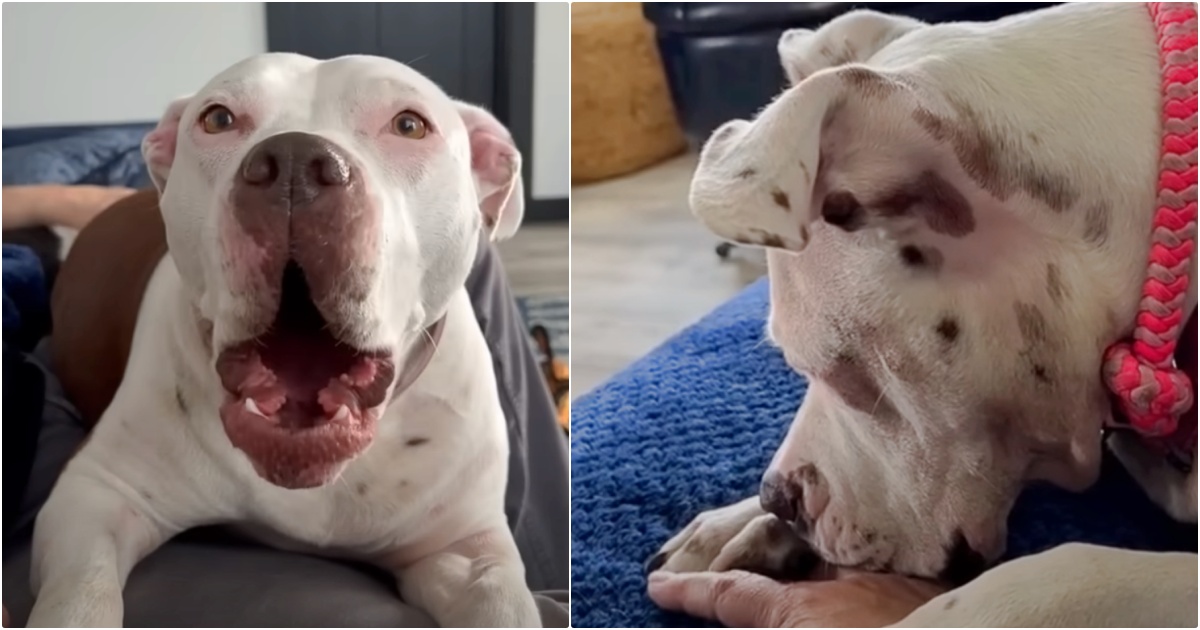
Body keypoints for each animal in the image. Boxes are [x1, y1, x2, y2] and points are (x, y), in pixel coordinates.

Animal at [25, 54, 542, 628]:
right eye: (218, 119)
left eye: (409, 125)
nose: (295, 162)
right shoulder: (94, 494)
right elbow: (79, 597)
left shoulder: (464, 548)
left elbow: (501, 600)